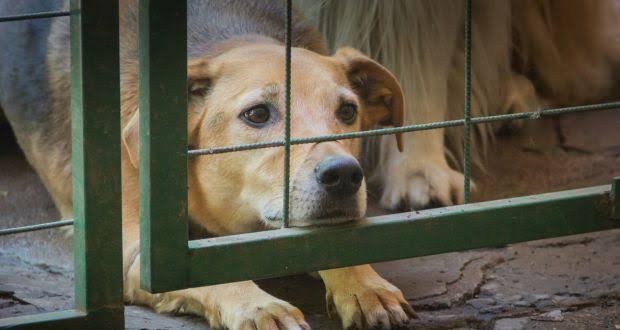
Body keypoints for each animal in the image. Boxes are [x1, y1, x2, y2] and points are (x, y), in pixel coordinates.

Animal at [2, 0, 416, 330]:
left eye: (348, 111)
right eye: (257, 114)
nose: (343, 174)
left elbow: (337, 243)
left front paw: (365, 284)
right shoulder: (135, 248)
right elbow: (198, 270)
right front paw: (257, 305)